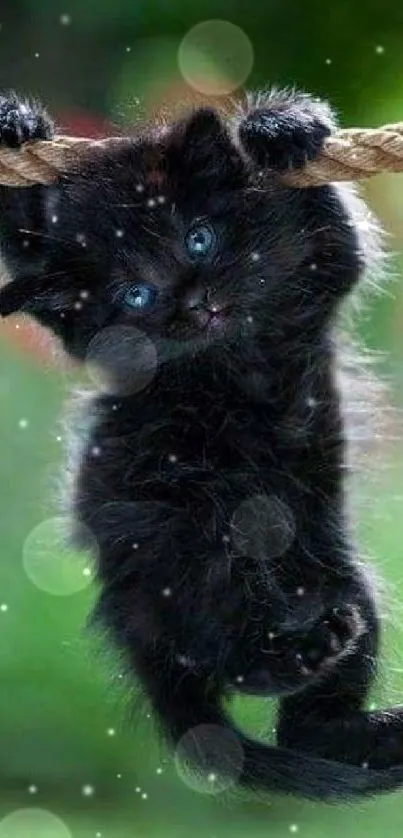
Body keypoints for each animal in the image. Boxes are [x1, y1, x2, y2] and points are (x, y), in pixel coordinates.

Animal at [0, 88, 402, 804]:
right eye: (135, 294)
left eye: (198, 237)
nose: (195, 303)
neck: (230, 352)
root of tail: (128, 613)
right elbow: (24, 244)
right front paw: (16, 124)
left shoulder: (323, 269)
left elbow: (339, 225)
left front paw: (282, 129)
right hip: (188, 536)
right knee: (227, 649)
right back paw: (300, 652)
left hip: (339, 573)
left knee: (308, 727)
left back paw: (380, 729)